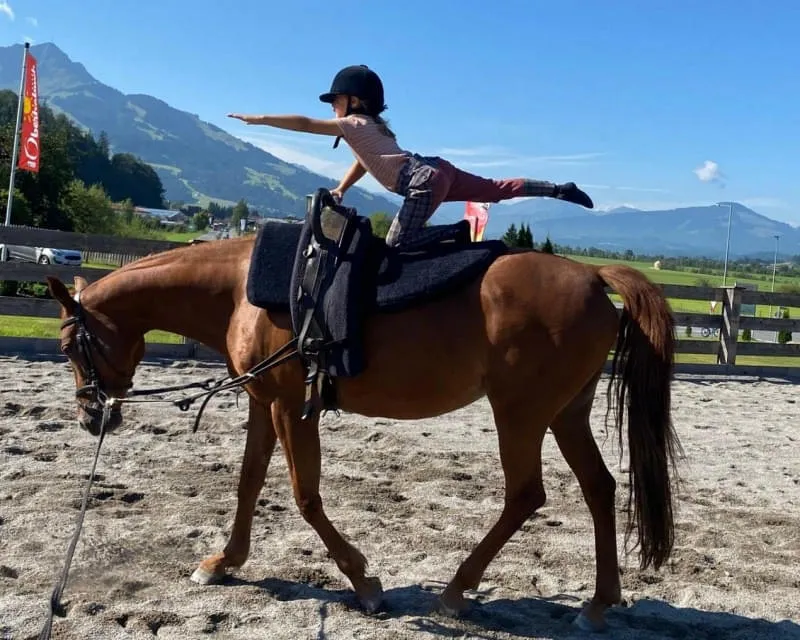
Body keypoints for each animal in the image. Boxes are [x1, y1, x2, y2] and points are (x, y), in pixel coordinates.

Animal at [45, 218, 681, 632]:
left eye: (71, 345)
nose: (90, 414)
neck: (238, 291)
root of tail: (592, 277)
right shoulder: (262, 403)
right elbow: (249, 484)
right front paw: (223, 563)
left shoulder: (288, 407)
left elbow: (304, 495)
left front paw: (363, 583)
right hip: (565, 413)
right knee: (599, 488)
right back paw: (598, 602)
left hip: (520, 414)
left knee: (526, 495)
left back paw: (456, 591)